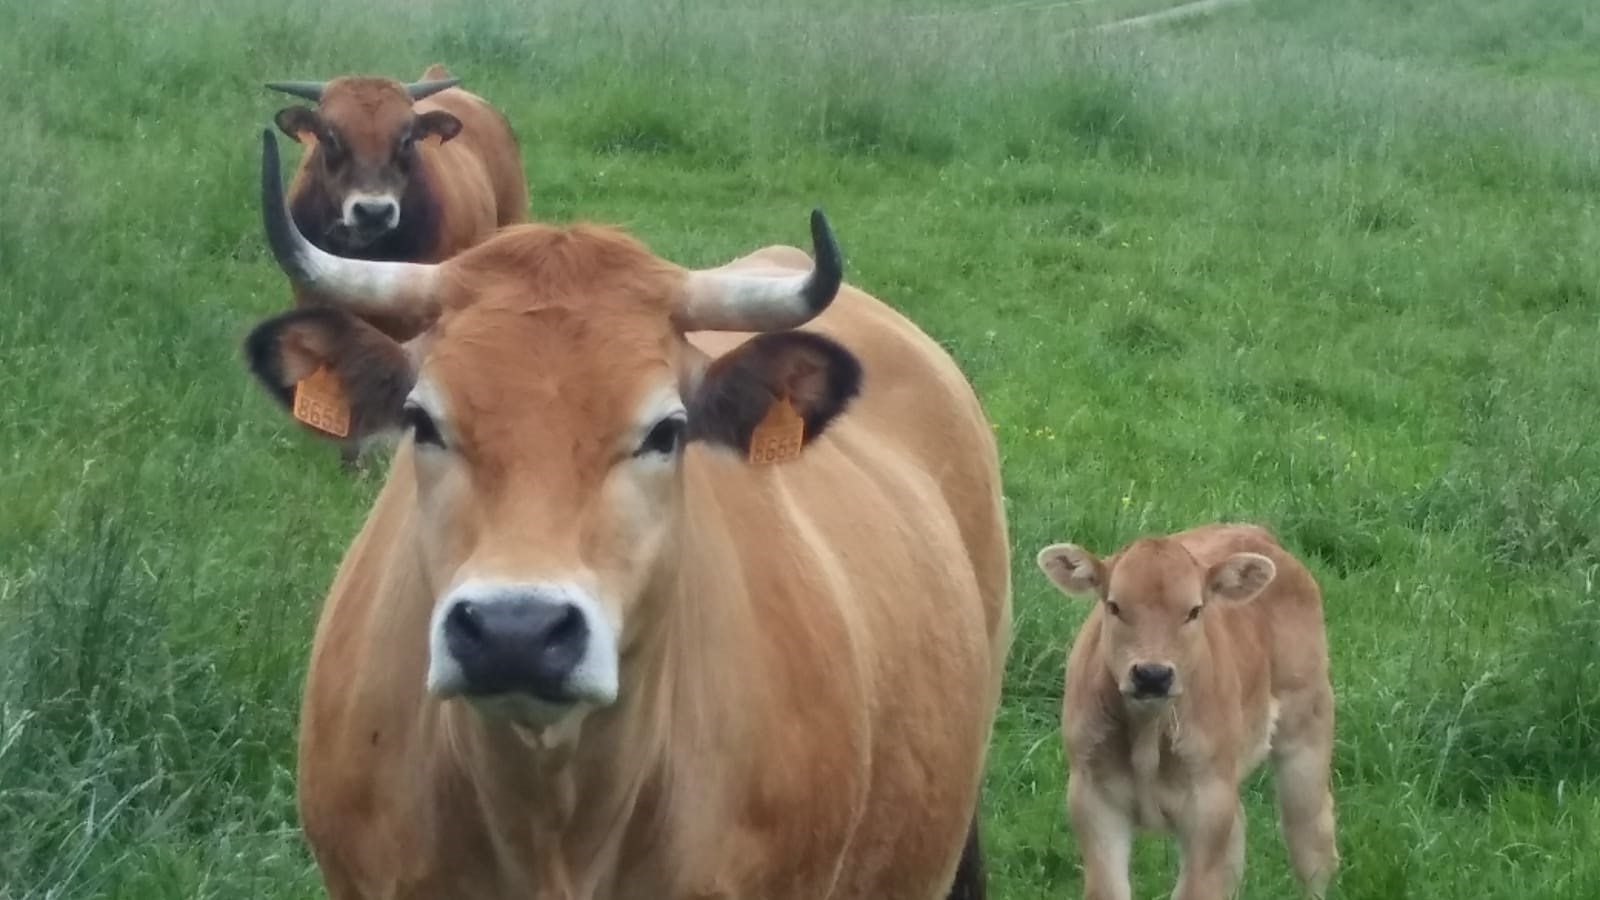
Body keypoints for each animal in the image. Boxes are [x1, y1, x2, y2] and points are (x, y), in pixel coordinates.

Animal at [1036, 522, 1337, 896]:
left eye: (1194, 610)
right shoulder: (1092, 799)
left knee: (1311, 839)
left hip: (1307, 722)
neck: (1148, 733)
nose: (1152, 674)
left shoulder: (1207, 806)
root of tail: (1254, 530)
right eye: (1115, 606)